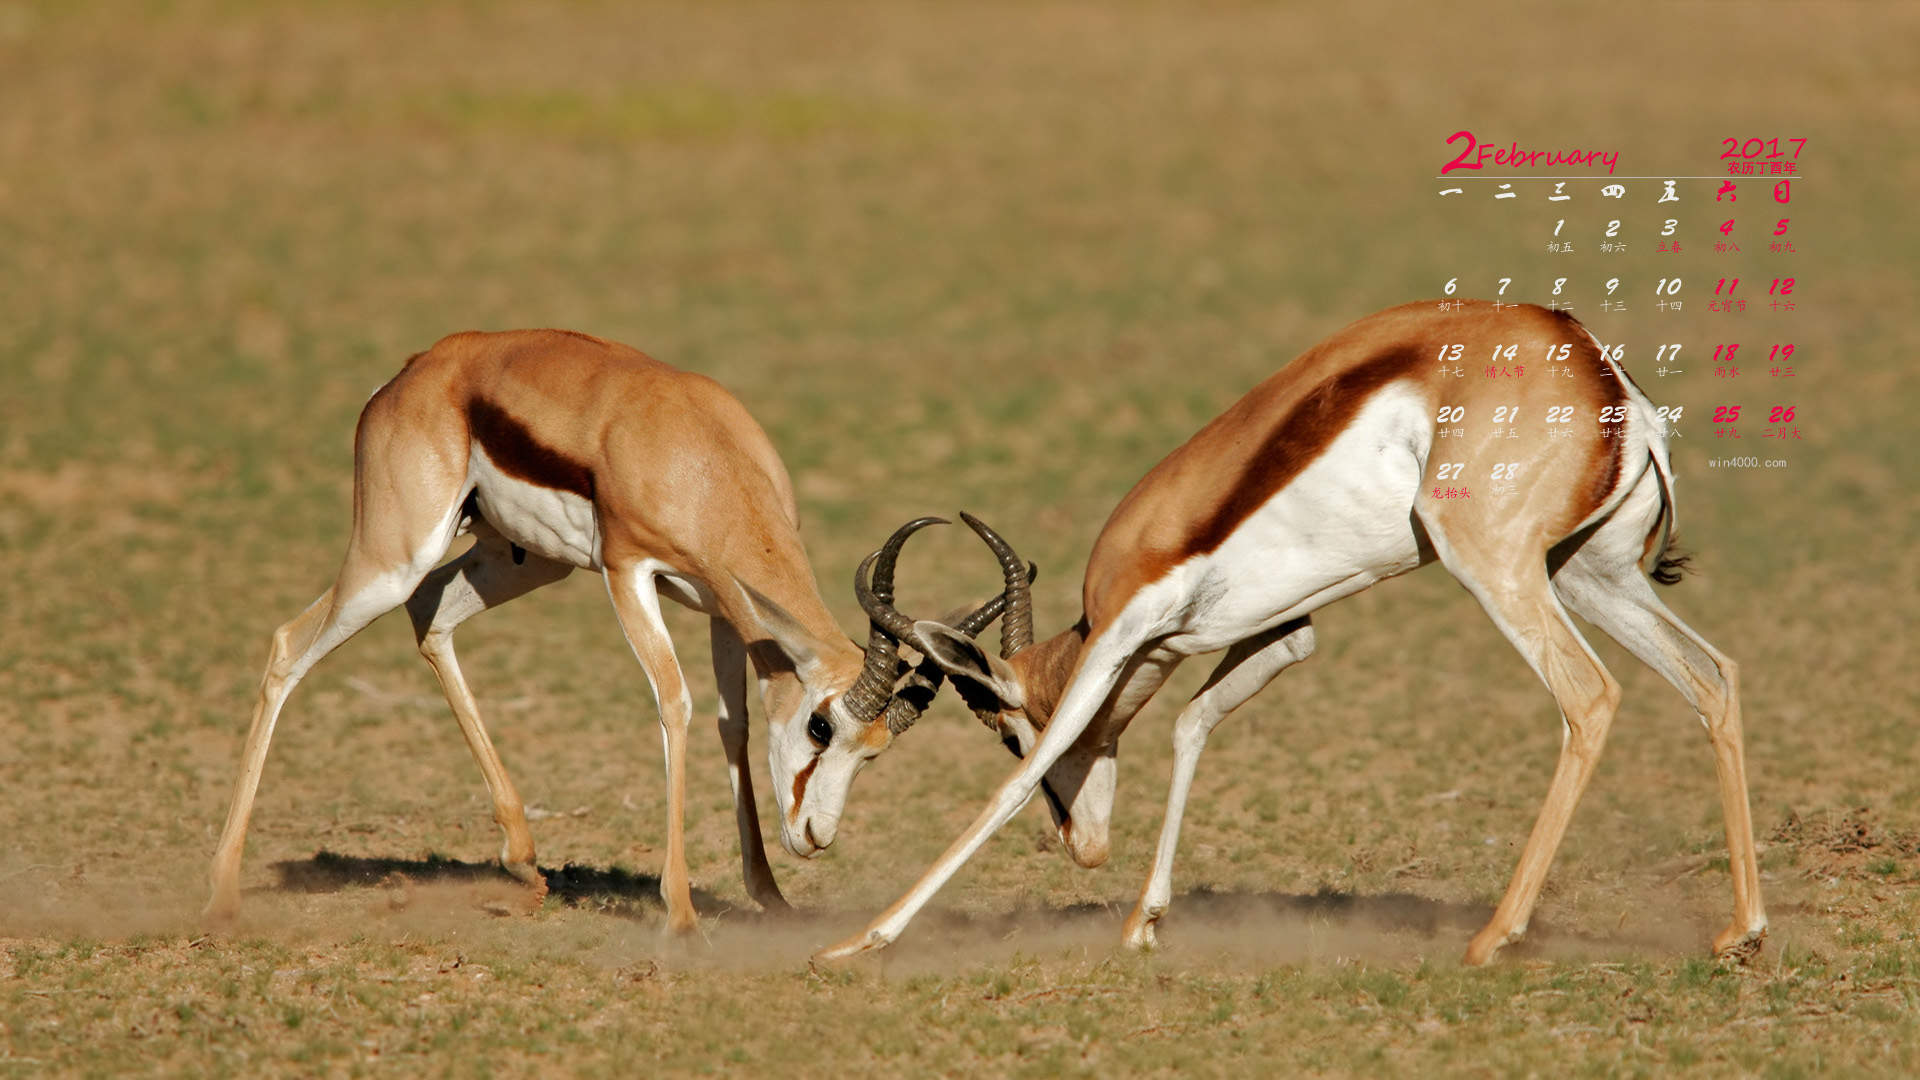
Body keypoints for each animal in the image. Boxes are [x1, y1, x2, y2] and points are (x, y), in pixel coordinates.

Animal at [203, 328, 1006, 931]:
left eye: (874, 753)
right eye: (820, 727)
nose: (816, 838)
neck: (699, 455)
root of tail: (416, 371)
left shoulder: (723, 606)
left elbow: (734, 724)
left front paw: (770, 896)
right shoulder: (629, 573)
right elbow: (675, 704)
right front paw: (680, 914)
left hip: (521, 561)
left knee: (429, 612)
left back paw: (523, 860)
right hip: (391, 559)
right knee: (290, 642)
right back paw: (222, 893)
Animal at [812, 300, 1767, 966]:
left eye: (1008, 731)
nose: (1084, 850)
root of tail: (1607, 381)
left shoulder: (1125, 632)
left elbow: (1015, 789)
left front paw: (858, 943)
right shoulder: (1280, 633)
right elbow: (1193, 724)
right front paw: (1144, 923)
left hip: (1496, 566)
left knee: (1590, 696)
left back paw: (1493, 937)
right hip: (1586, 572)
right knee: (1713, 673)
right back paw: (1742, 933)